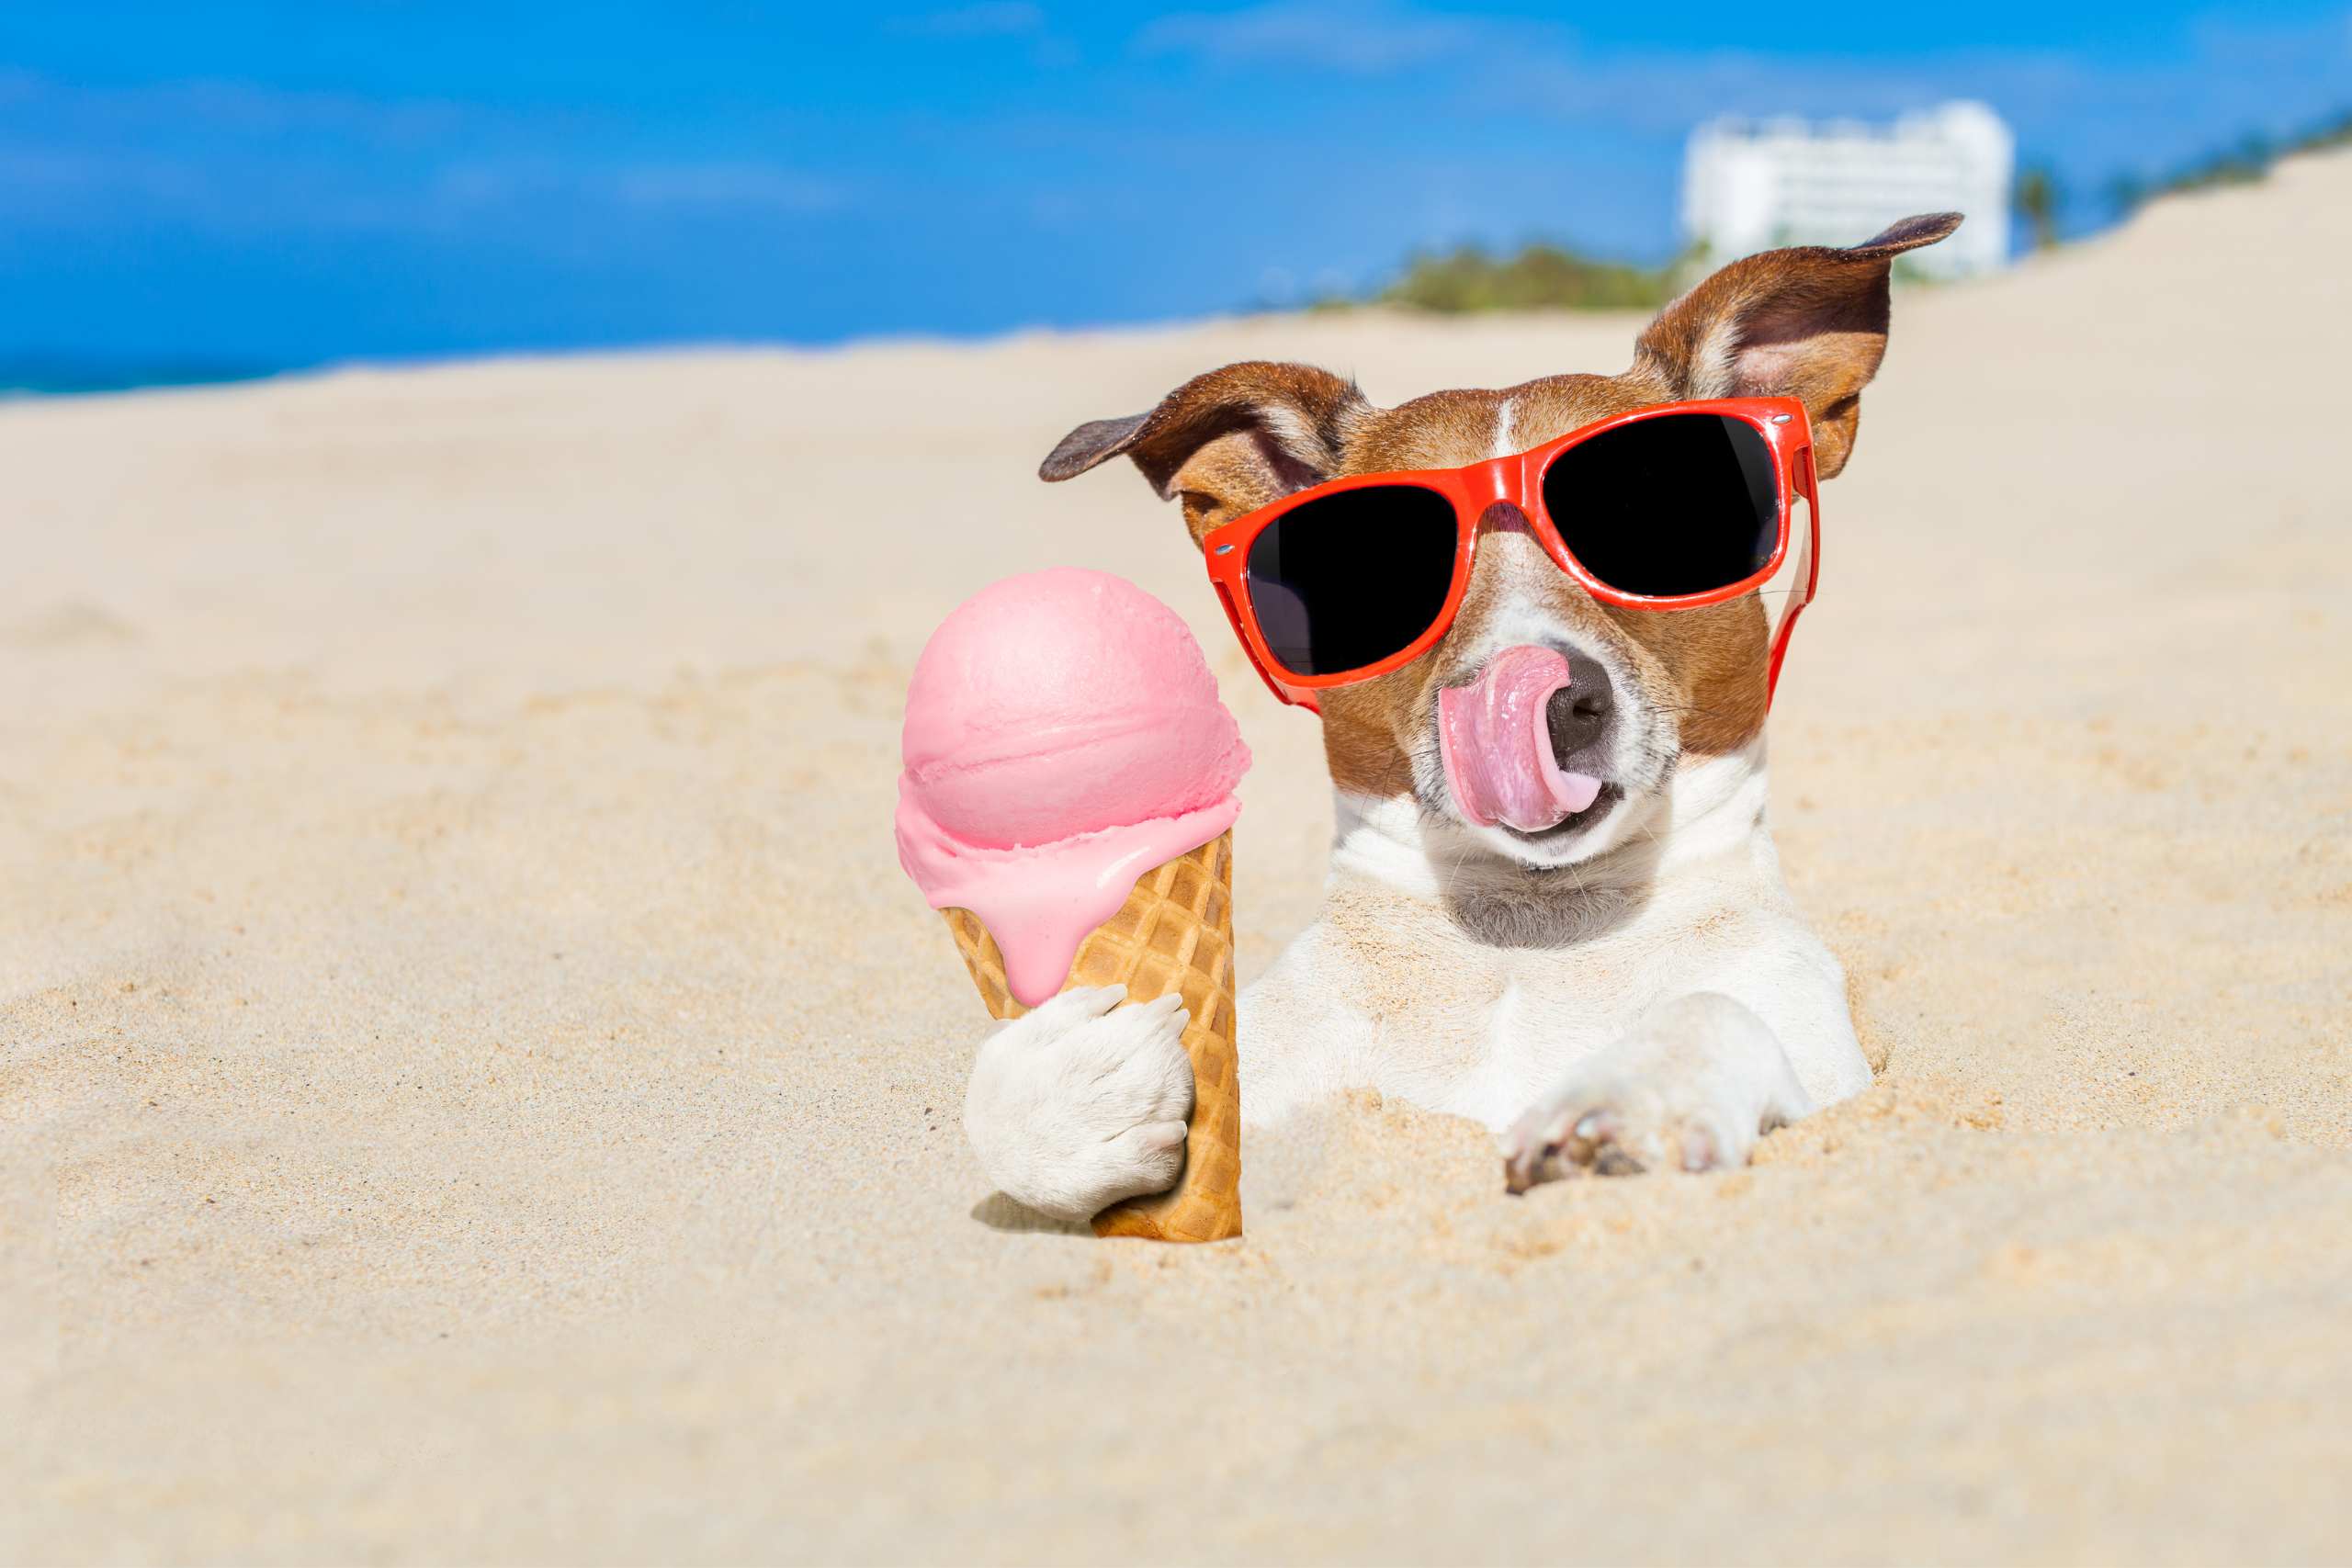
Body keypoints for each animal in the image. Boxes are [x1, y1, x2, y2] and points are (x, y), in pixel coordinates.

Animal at [964, 215, 1956, 1222]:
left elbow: (1714, 1012)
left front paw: (1629, 1097)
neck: (1529, 937)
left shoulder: (1816, 1052)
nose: (1543, 699)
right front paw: (1078, 1084)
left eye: (1652, 511)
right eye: (1368, 562)